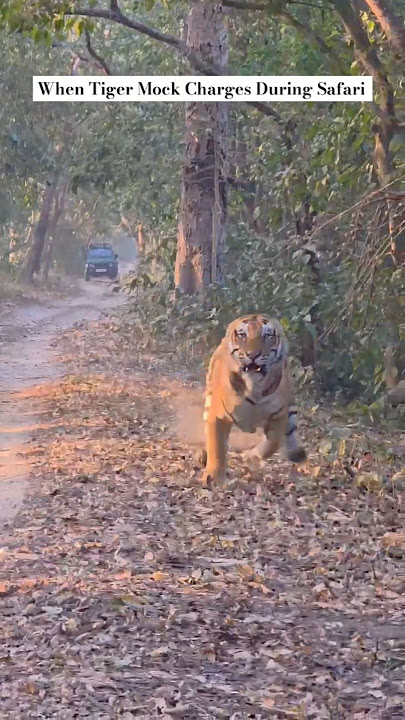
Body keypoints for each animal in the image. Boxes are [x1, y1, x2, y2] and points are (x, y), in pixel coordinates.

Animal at [201, 314, 306, 483]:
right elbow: (216, 445)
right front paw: (214, 476)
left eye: (267, 335)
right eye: (243, 335)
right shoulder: (219, 415)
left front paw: (251, 457)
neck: (254, 386)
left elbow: (273, 443)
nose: (253, 355)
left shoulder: (279, 414)